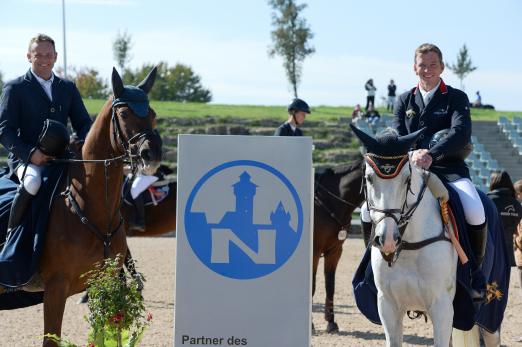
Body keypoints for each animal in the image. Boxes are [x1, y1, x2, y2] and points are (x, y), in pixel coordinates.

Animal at [13, 68, 160, 347]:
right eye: (124, 114)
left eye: (154, 114)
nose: (152, 154)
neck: (92, 208)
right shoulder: (56, 287)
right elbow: (51, 339)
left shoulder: (103, 283)